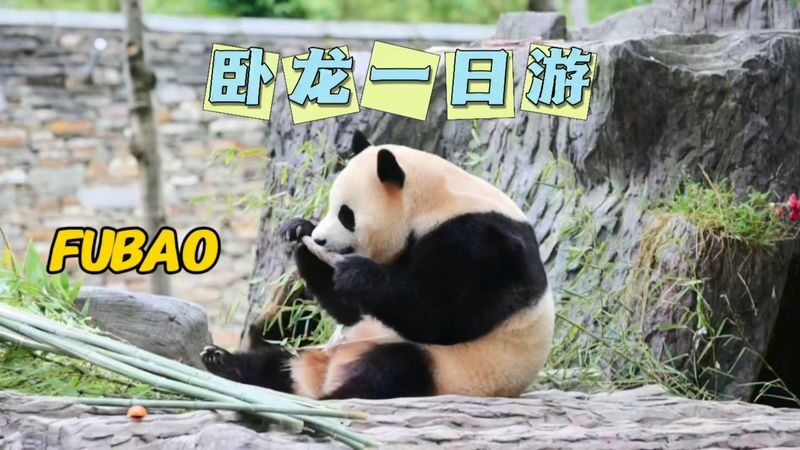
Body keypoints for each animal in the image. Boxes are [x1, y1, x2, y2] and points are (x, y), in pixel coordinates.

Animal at [202, 131, 555, 399]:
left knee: (394, 367)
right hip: (317, 351)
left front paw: (356, 272)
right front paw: (299, 231)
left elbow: (443, 317)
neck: (434, 202)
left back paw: (334, 398)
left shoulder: (480, 244)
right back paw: (225, 363)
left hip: (453, 371)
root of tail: (321, 377)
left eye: (346, 214)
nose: (321, 240)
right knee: (276, 363)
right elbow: (351, 310)